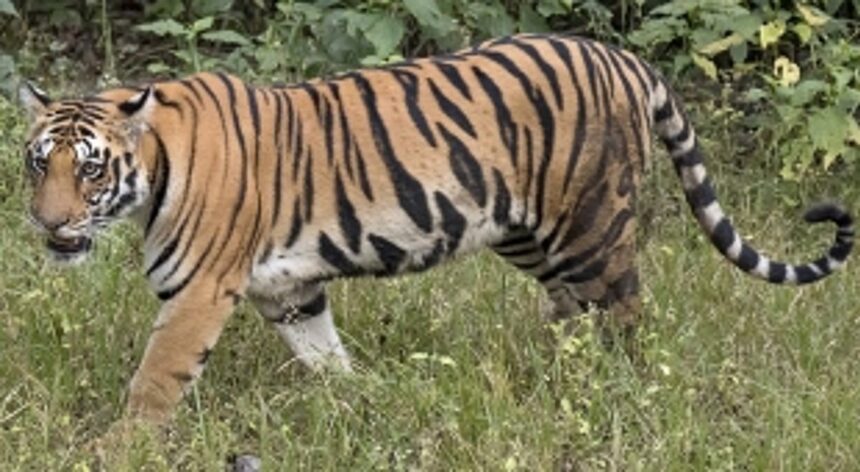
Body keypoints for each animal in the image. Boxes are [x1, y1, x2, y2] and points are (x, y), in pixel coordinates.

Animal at [17, 33, 854, 425]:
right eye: (37, 164)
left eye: (89, 170)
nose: (48, 224)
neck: (152, 169)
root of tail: (622, 57)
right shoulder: (288, 289)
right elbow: (323, 354)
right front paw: (359, 401)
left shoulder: (198, 293)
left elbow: (155, 381)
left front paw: (121, 448)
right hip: (529, 234)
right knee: (572, 313)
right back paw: (555, 378)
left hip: (591, 226)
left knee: (625, 316)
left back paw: (619, 393)